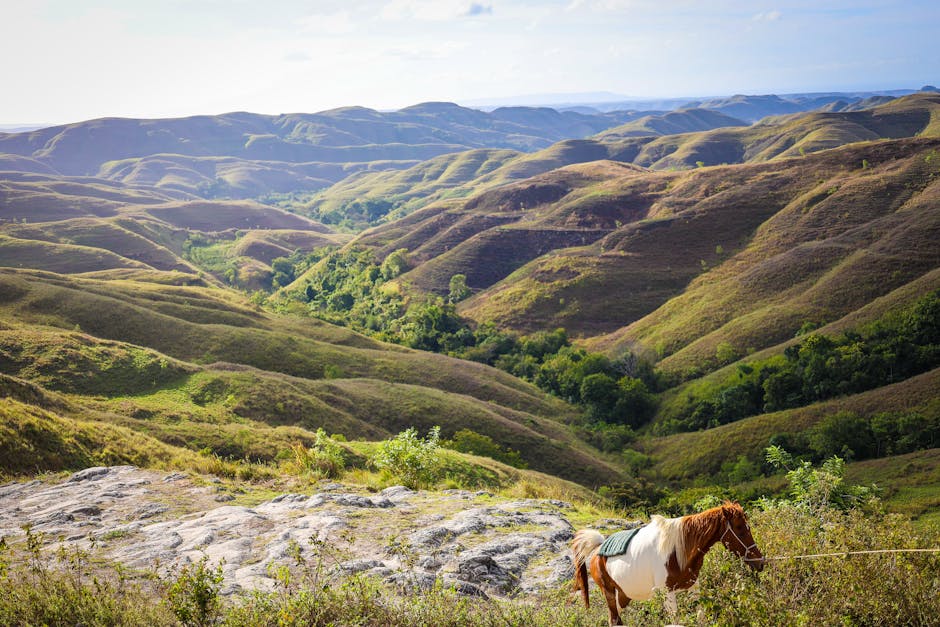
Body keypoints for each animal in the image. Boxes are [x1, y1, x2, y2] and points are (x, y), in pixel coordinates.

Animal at [572, 501, 764, 626]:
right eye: (739, 528)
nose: (759, 562)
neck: (678, 551)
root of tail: (598, 548)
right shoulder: (668, 594)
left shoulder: (694, 588)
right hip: (609, 592)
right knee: (614, 620)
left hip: (624, 595)